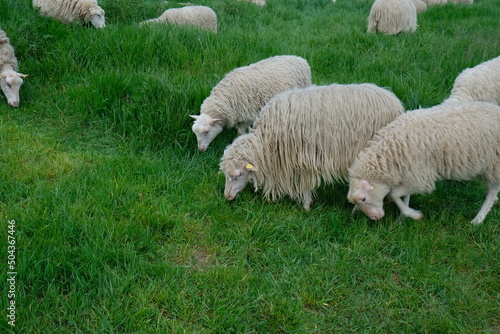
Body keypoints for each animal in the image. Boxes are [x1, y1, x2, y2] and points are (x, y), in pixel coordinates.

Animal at [221, 82, 404, 210]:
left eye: (238, 175)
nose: (227, 197)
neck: (267, 142)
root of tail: (394, 101)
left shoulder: (304, 159)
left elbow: (306, 183)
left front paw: (307, 206)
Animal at [348, 102, 500, 226]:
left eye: (363, 199)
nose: (375, 218)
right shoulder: (410, 173)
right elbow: (403, 195)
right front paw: (402, 218)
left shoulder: (421, 176)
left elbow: (394, 194)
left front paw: (413, 215)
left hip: (494, 164)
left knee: (492, 191)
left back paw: (478, 219)